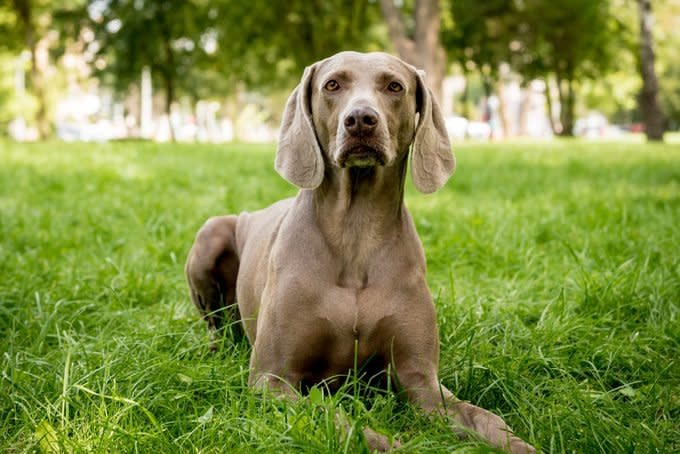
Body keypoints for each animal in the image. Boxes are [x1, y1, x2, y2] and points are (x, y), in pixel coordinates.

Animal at [186, 51, 536, 452]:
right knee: (215, 325)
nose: (360, 120)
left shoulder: (419, 378)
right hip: (210, 234)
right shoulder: (272, 379)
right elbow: (336, 418)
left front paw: (519, 444)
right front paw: (389, 443)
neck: (356, 232)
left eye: (394, 86)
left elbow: (483, 417)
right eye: (332, 84)